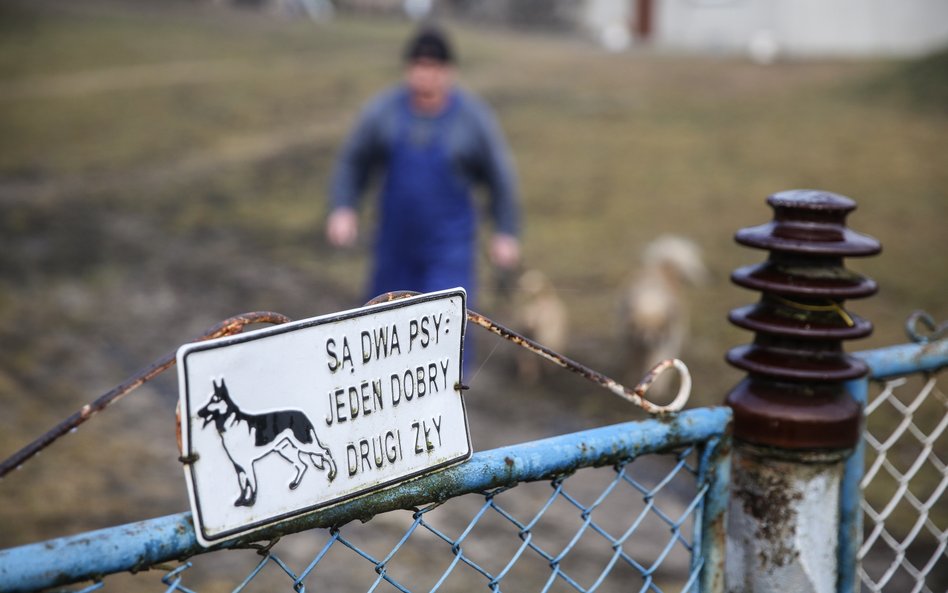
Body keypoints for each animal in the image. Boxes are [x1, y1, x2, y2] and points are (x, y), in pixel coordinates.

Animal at [620, 236, 708, 384]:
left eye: (659, 330)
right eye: (640, 330)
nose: (649, 341)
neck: (650, 302)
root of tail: (664, 266)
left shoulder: (664, 343)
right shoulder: (631, 343)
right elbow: (633, 358)